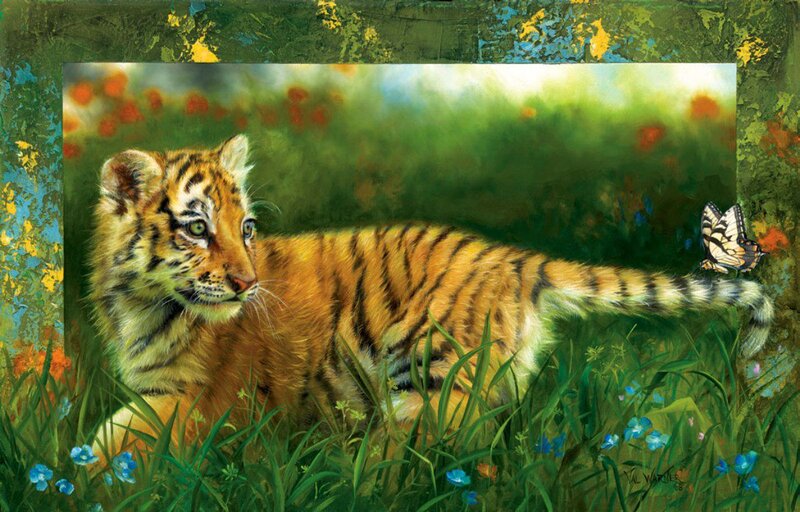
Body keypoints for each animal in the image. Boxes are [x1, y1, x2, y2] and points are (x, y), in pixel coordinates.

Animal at [89, 134, 774, 460]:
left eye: (247, 227)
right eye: (198, 228)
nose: (247, 284)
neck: (141, 302)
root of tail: (512, 257)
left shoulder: (193, 401)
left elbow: (112, 444)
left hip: (430, 379)